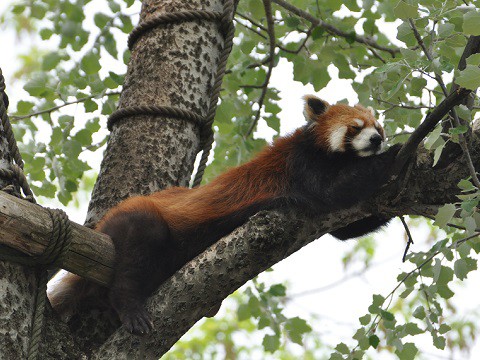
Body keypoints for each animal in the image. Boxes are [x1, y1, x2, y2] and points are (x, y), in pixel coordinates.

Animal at [48, 95, 402, 334]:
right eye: (356, 127)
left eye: (378, 127)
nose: (377, 139)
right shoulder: (300, 163)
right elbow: (330, 192)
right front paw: (398, 153)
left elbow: (345, 228)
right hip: (137, 220)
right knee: (137, 254)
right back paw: (130, 307)